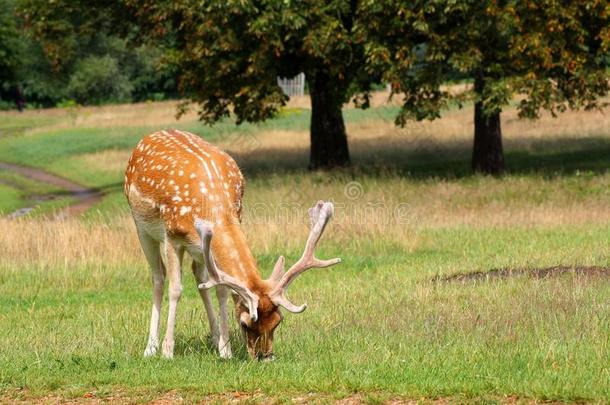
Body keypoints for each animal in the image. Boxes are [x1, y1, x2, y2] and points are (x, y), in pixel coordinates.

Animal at [123, 130, 342, 360]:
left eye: (277, 321)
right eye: (245, 324)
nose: (264, 357)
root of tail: (149, 136)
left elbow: (222, 290)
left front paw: (225, 349)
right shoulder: (172, 236)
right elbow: (176, 289)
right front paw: (168, 351)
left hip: (199, 250)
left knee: (200, 278)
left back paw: (213, 336)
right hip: (141, 228)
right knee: (158, 277)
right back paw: (151, 347)